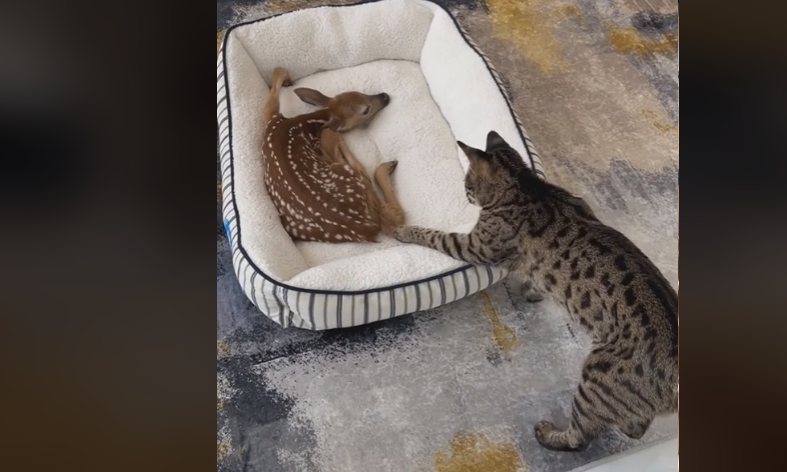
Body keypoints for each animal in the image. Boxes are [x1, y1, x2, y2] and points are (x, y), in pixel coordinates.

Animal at [398, 132, 680, 450]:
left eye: (466, 182)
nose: (465, 194)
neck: (525, 186)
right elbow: (540, 277)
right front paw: (533, 290)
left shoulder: (476, 247)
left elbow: (434, 235)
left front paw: (404, 231)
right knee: (636, 426)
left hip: (596, 379)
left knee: (580, 437)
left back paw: (548, 434)